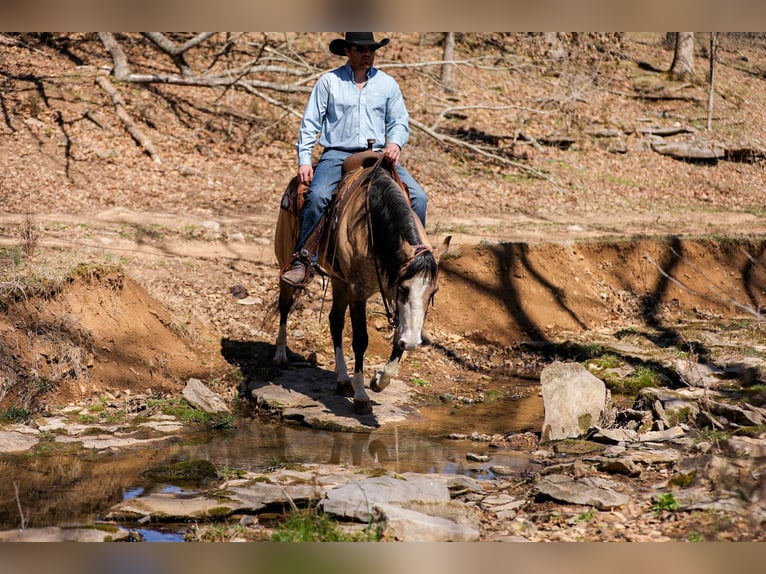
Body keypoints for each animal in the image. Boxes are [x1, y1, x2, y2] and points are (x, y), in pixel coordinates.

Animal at [274, 152, 450, 414]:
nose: (413, 342)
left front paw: (379, 380)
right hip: (287, 263)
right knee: (285, 306)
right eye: (404, 288)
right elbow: (360, 340)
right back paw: (280, 355)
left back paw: (342, 380)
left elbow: (397, 336)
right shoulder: (359, 290)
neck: (374, 226)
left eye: (433, 292)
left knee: (335, 321)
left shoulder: (385, 285)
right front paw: (361, 396)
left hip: (339, 280)